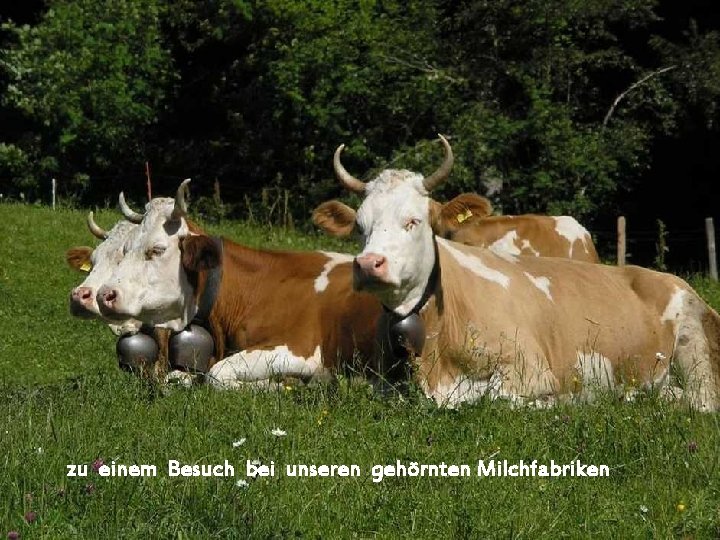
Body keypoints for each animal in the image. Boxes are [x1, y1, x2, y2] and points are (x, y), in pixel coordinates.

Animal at [93, 181, 386, 388]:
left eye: (157, 249)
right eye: (126, 249)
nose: (104, 295)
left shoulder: (302, 349)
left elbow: (216, 375)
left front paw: (281, 385)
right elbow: (179, 376)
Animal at [314, 134, 720, 410]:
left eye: (413, 220)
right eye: (360, 226)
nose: (369, 264)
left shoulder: (531, 368)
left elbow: (494, 397)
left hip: (693, 338)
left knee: (701, 400)